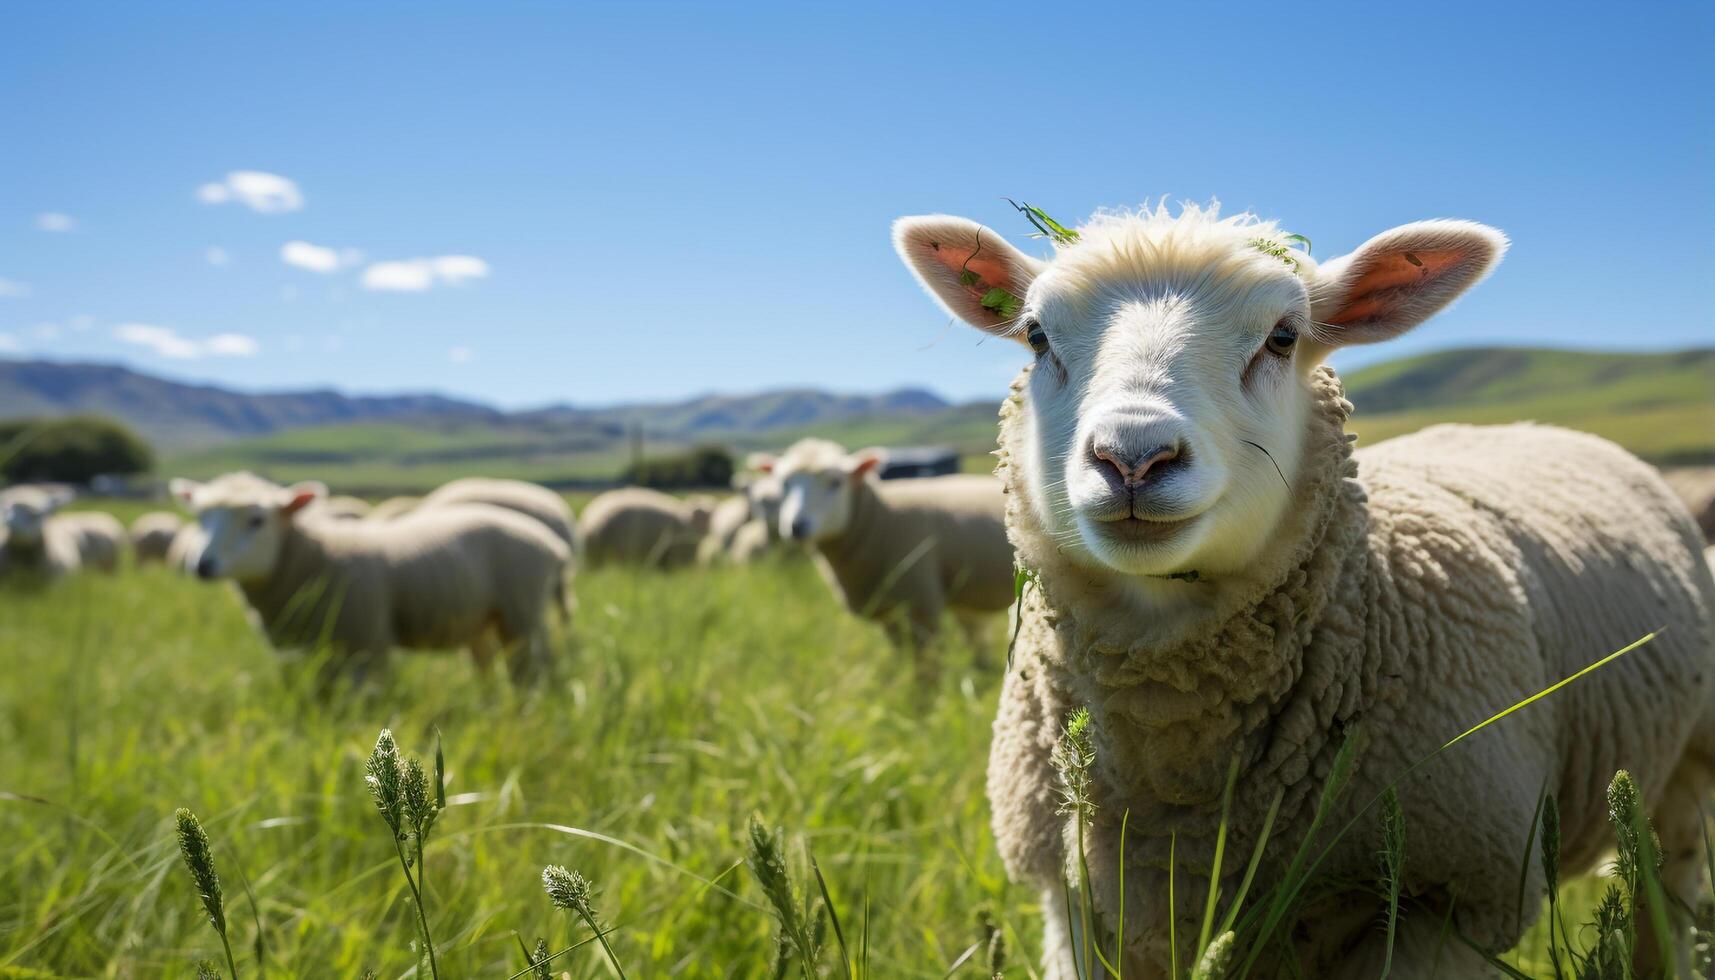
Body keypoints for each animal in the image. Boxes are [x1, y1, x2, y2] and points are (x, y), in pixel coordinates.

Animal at [178, 470, 572, 686]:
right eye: (202, 517)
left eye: (257, 520)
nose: (202, 565)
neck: (316, 557)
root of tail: (550, 543)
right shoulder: (302, 652)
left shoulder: (367, 642)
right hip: (482, 620)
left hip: (521, 615)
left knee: (529, 672)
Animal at [775, 439, 1015, 672]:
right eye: (784, 484)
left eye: (836, 482)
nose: (796, 526)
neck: (881, 517)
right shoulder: (887, 610)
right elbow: (902, 654)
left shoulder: (920, 603)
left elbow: (927, 664)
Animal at [891, 203, 1715, 974]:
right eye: (1036, 337)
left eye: (1283, 338)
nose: (1132, 458)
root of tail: (1531, 425)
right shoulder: (1069, 899)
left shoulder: (1447, 904)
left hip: (1681, 775)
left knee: (1664, 896)